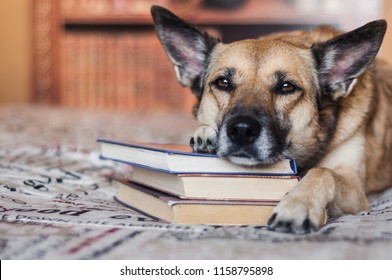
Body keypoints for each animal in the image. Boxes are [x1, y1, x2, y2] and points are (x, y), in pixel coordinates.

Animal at [149, 6, 392, 234]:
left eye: (287, 87)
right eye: (222, 83)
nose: (241, 131)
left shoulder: (355, 188)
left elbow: (323, 172)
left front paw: (297, 205)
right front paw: (205, 135)